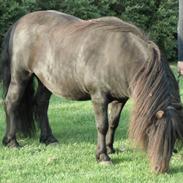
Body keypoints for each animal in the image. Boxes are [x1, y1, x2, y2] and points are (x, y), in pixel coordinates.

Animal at [1, 10, 183, 172]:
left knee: (41, 104)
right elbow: (102, 125)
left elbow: (114, 123)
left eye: (174, 137)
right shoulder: (99, 97)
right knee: (12, 102)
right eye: (154, 133)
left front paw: (110, 148)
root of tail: (18, 23)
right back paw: (11, 142)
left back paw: (48, 139)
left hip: (45, 81)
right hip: (20, 76)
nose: (160, 169)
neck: (121, 55)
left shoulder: (120, 99)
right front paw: (102, 156)